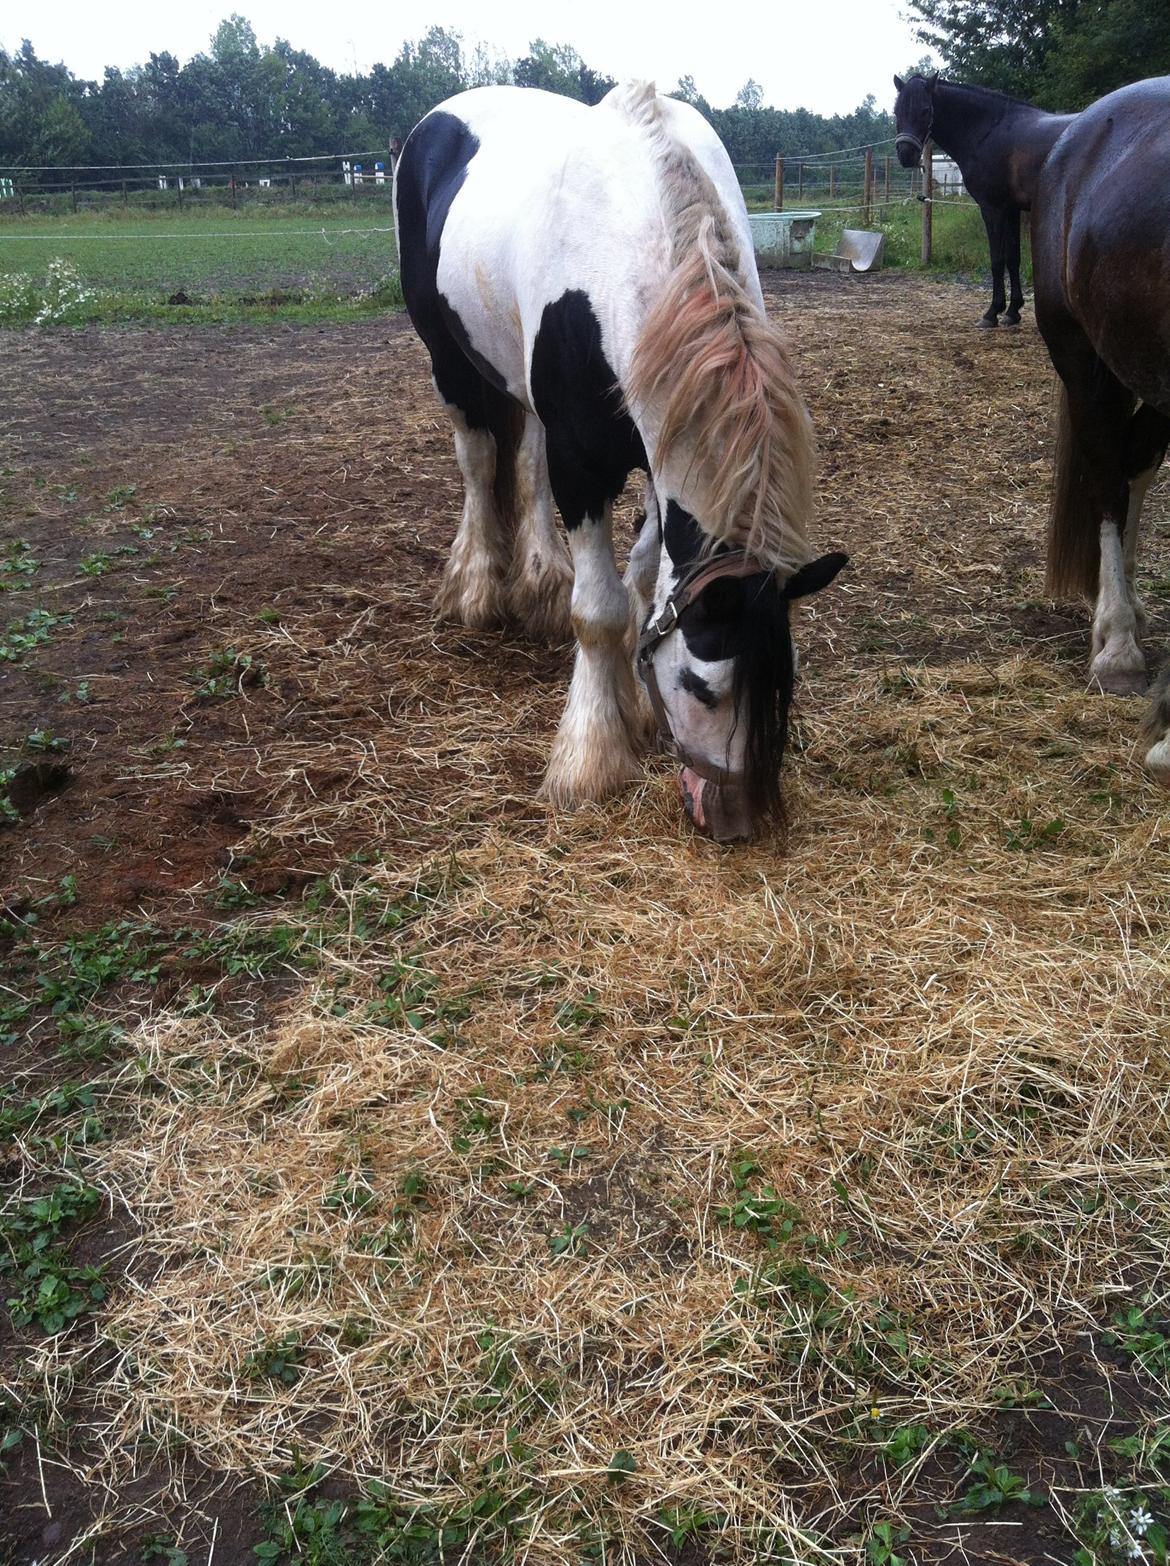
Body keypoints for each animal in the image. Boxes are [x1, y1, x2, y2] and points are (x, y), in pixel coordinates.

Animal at [391, 82, 839, 845]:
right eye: (703, 689)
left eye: (789, 674)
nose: (734, 820)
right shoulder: (584, 468)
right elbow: (599, 609)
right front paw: (593, 754)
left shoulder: (659, 454)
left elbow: (642, 579)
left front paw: (630, 704)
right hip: (448, 361)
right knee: (479, 463)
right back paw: (477, 587)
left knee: (525, 460)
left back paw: (539, 578)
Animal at [889, 74, 1077, 325]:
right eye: (896, 111)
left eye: (925, 110)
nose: (905, 154)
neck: (989, 131)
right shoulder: (1011, 210)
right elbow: (1013, 258)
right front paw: (1012, 311)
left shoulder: (992, 208)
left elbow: (997, 259)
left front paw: (992, 313)